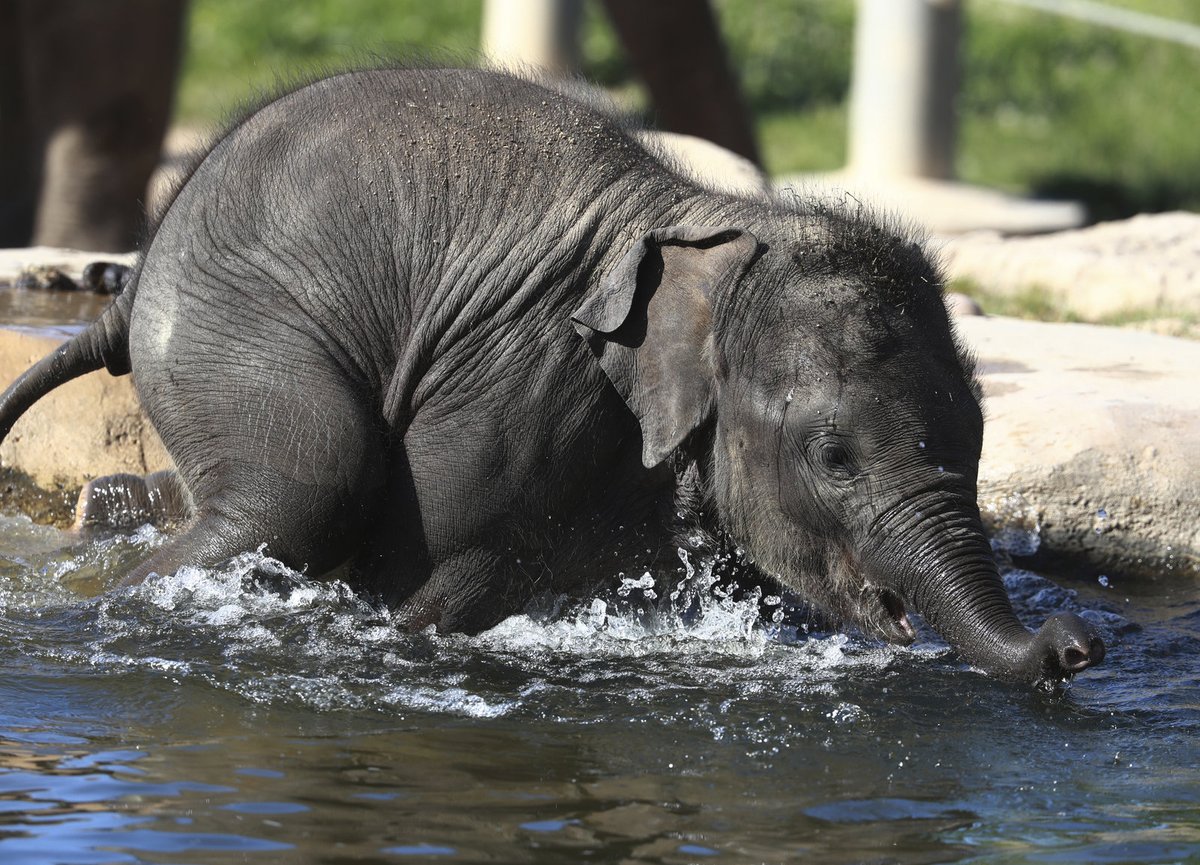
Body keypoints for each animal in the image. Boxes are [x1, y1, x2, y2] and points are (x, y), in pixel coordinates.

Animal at [0, 65, 1104, 681]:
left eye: (979, 445)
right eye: (833, 457)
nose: (1076, 644)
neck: (719, 240)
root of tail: (135, 279)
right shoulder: (528, 386)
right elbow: (443, 570)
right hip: (234, 332)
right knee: (298, 494)